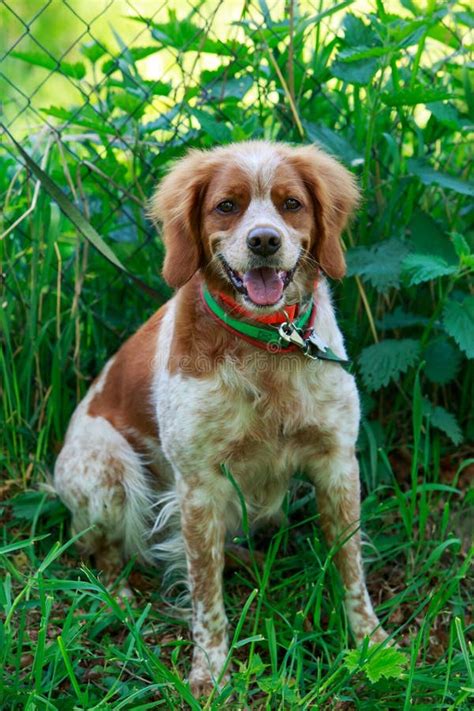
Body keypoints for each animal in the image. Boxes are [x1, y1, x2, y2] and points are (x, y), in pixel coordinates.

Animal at [54, 142, 388, 700]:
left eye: (291, 203)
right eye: (226, 206)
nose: (264, 241)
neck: (268, 346)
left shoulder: (338, 461)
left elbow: (351, 567)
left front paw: (370, 642)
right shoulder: (198, 488)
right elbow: (205, 594)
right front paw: (210, 672)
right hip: (109, 472)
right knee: (106, 551)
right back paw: (120, 598)